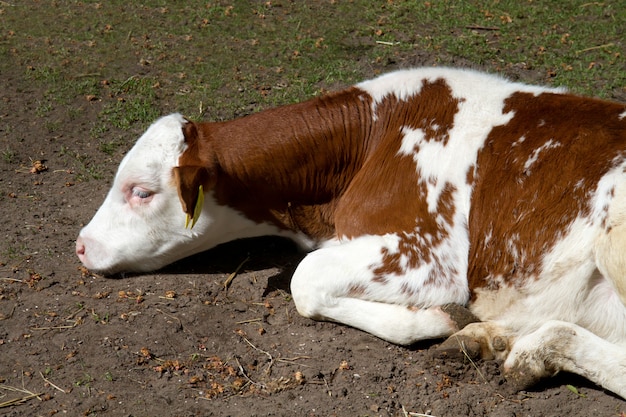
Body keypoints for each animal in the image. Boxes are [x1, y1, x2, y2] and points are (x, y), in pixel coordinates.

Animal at [77, 67, 624, 396]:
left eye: (141, 191)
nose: (80, 245)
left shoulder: (428, 254)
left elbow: (304, 280)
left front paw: (435, 320)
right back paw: (493, 339)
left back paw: (528, 350)